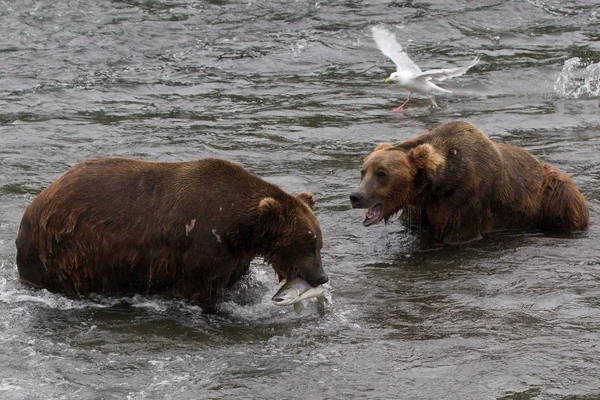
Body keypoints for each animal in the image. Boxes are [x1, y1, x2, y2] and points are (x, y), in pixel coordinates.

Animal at [15, 157, 328, 310]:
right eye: (308, 241)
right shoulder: (202, 245)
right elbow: (201, 290)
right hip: (67, 250)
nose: (321, 277)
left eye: (319, 243)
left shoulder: (233, 255)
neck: (238, 226)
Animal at [350, 120, 588, 244]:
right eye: (363, 171)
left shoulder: (467, 197)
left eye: (382, 173)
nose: (356, 196)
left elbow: (458, 235)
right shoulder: (419, 209)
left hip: (552, 192)